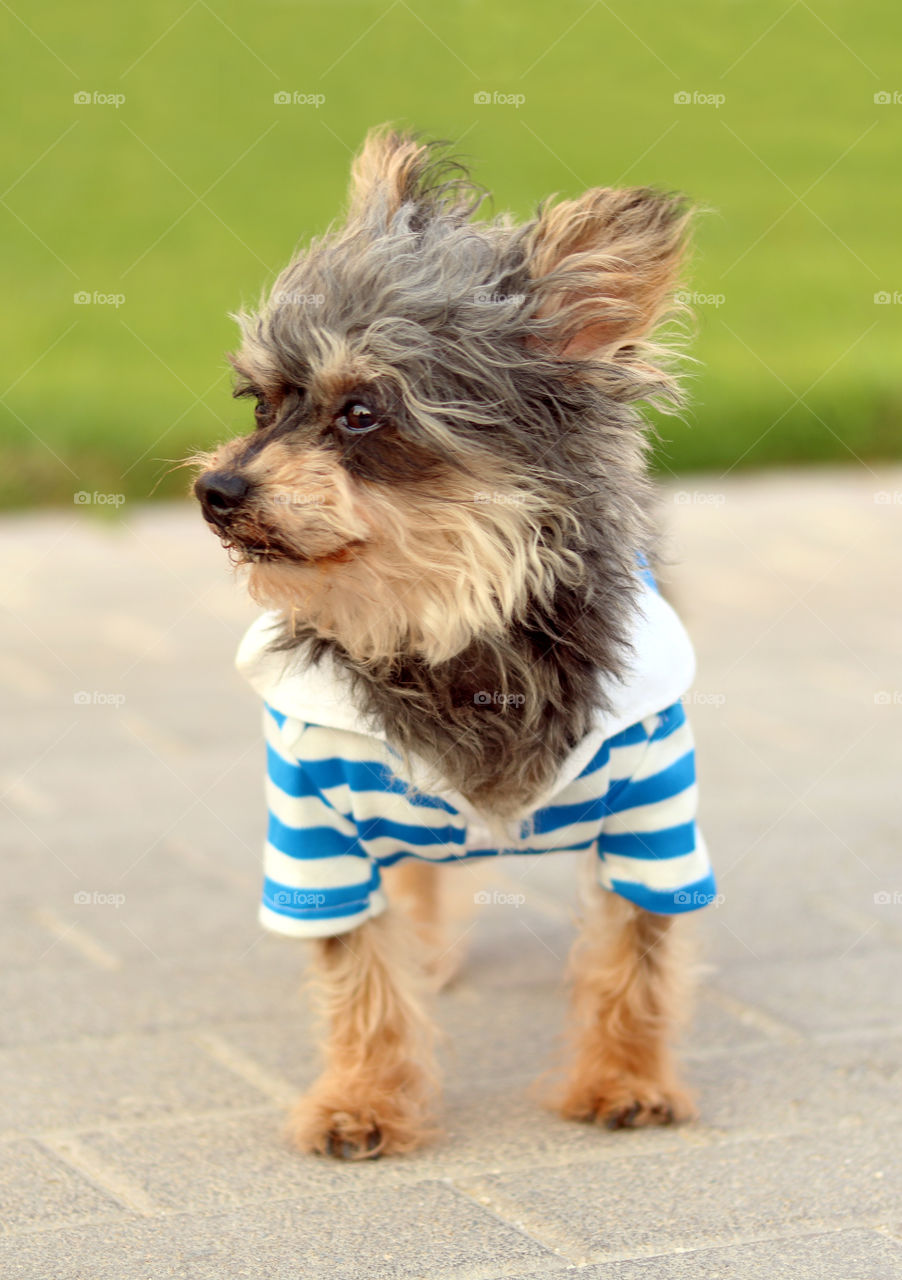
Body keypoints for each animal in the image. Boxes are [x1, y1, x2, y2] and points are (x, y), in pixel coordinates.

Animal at [193, 127, 716, 1162]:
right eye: (261, 404)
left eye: (360, 412)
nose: (216, 491)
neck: (443, 620)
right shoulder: (315, 830)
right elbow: (358, 971)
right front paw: (364, 1099)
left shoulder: (655, 814)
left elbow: (637, 955)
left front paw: (627, 1080)